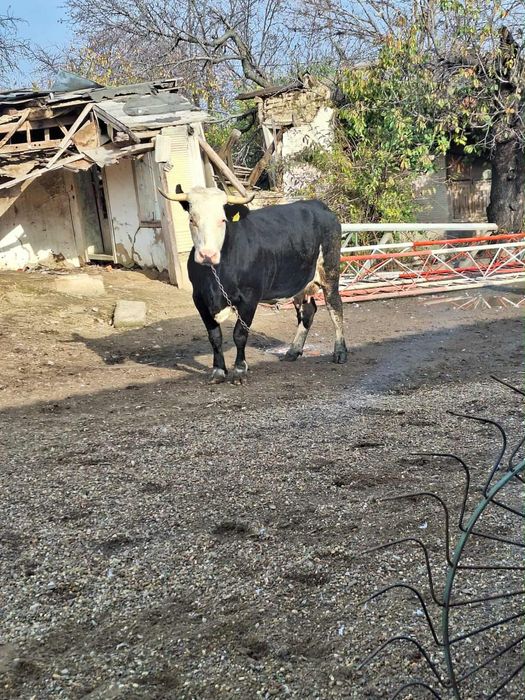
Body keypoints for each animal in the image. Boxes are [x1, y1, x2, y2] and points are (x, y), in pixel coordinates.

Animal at [159, 185, 348, 384]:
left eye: (222, 220)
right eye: (192, 219)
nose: (207, 255)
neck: (216, 276)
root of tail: (317, 205)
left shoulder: (249, 298)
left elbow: (240, 334)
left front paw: (240, 370)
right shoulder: (199, 299)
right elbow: (215, 337)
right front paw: (219, 371)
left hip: (330, 271)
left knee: (335, 308)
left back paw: (340, 352)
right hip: (300, 283)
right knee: (308, 312)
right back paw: (293, 351)